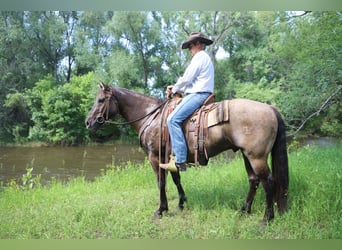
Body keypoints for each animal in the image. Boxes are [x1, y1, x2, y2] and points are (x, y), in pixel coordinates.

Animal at [85, 83, 288, 222]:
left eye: (100, 100)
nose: (88, 122)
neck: (150, 116)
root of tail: (270, 108)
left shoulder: (155, 157)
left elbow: (161, 182)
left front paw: (161, 209)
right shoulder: (171, 157)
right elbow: (176, 178)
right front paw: (181, 202)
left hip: (256, 157)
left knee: (268, 182)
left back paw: (266, 218)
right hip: (247, 155)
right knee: (254, 181)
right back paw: (244, 210)